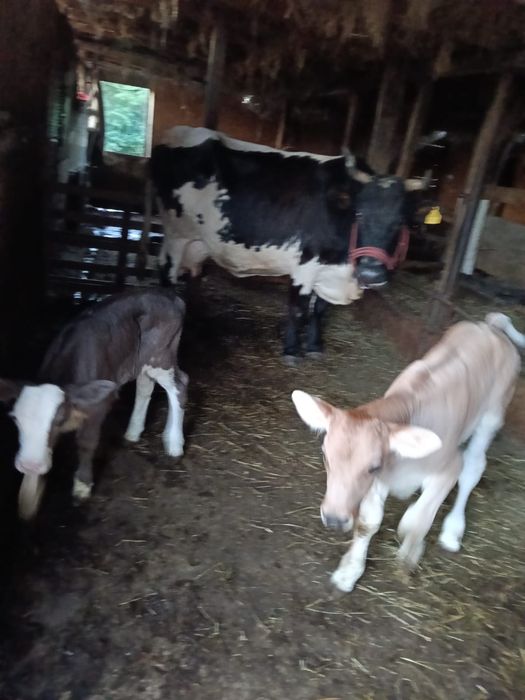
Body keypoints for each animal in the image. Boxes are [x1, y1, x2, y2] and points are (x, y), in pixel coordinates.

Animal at [0, 289, 188, 520]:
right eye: (16, 420)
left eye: (58, 420)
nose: (29, 464)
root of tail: (171, 297)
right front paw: (29, 495)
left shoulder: (98, 406)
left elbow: (86, 443)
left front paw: (82, 486)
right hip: (142, 361)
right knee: (145, 386)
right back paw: (133, 432)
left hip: (161, 357)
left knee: (180, 385)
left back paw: (174, 443)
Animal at [150, 126, 429, 363]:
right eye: (358, 214)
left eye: (402, 221)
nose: (371, 274)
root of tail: (174, 133)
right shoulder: (305, 265)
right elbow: (298, 309)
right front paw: (292, 351)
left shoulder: (329, 270)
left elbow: (320, 310)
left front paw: (314, 347)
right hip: (176, 234)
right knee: (167, 272)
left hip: (196, 242)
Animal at [292, 312, 524, 592]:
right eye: (326, 456)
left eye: (373, 466)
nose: (334, 520)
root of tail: (490, 326)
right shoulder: (378, 484)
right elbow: (367, 522)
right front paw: (349, 572)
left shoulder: (448, 466)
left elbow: (417, 519)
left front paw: (410, 550)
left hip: (492, 414)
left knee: (473, 466)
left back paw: (452, 531)